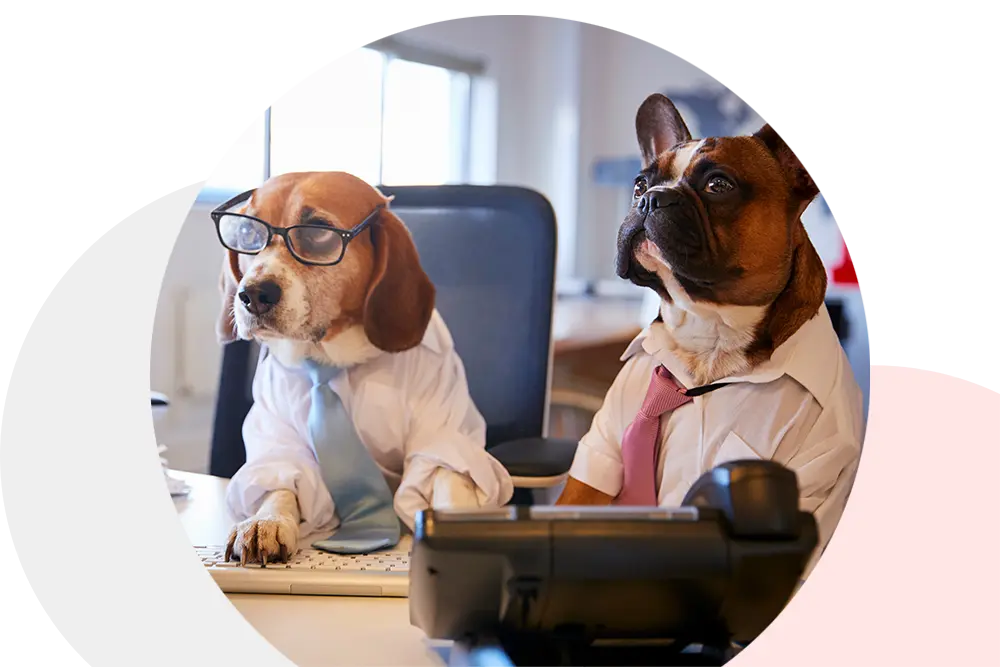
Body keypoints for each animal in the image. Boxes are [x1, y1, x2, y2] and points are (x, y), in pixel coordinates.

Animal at [209, 171, 508, 564]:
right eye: (247, 233)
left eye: (318, 232)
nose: (254, 294)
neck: (333, 359)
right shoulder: (278, 435)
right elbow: (281, 484)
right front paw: (265, 521)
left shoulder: (443, 432)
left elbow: (447, 475)